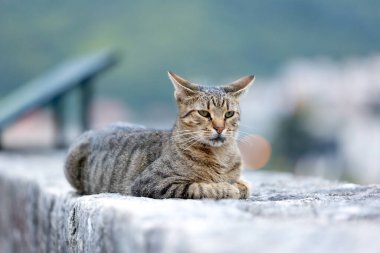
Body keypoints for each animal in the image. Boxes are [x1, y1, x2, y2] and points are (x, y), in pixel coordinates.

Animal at [64, 71, 255, 200]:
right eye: (204, 113)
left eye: (229, 114)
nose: (219, 128)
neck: (221, 155)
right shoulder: (151, 183)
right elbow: (199, 186)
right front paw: (226, 188)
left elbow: (245, 185)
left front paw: (237, 185)